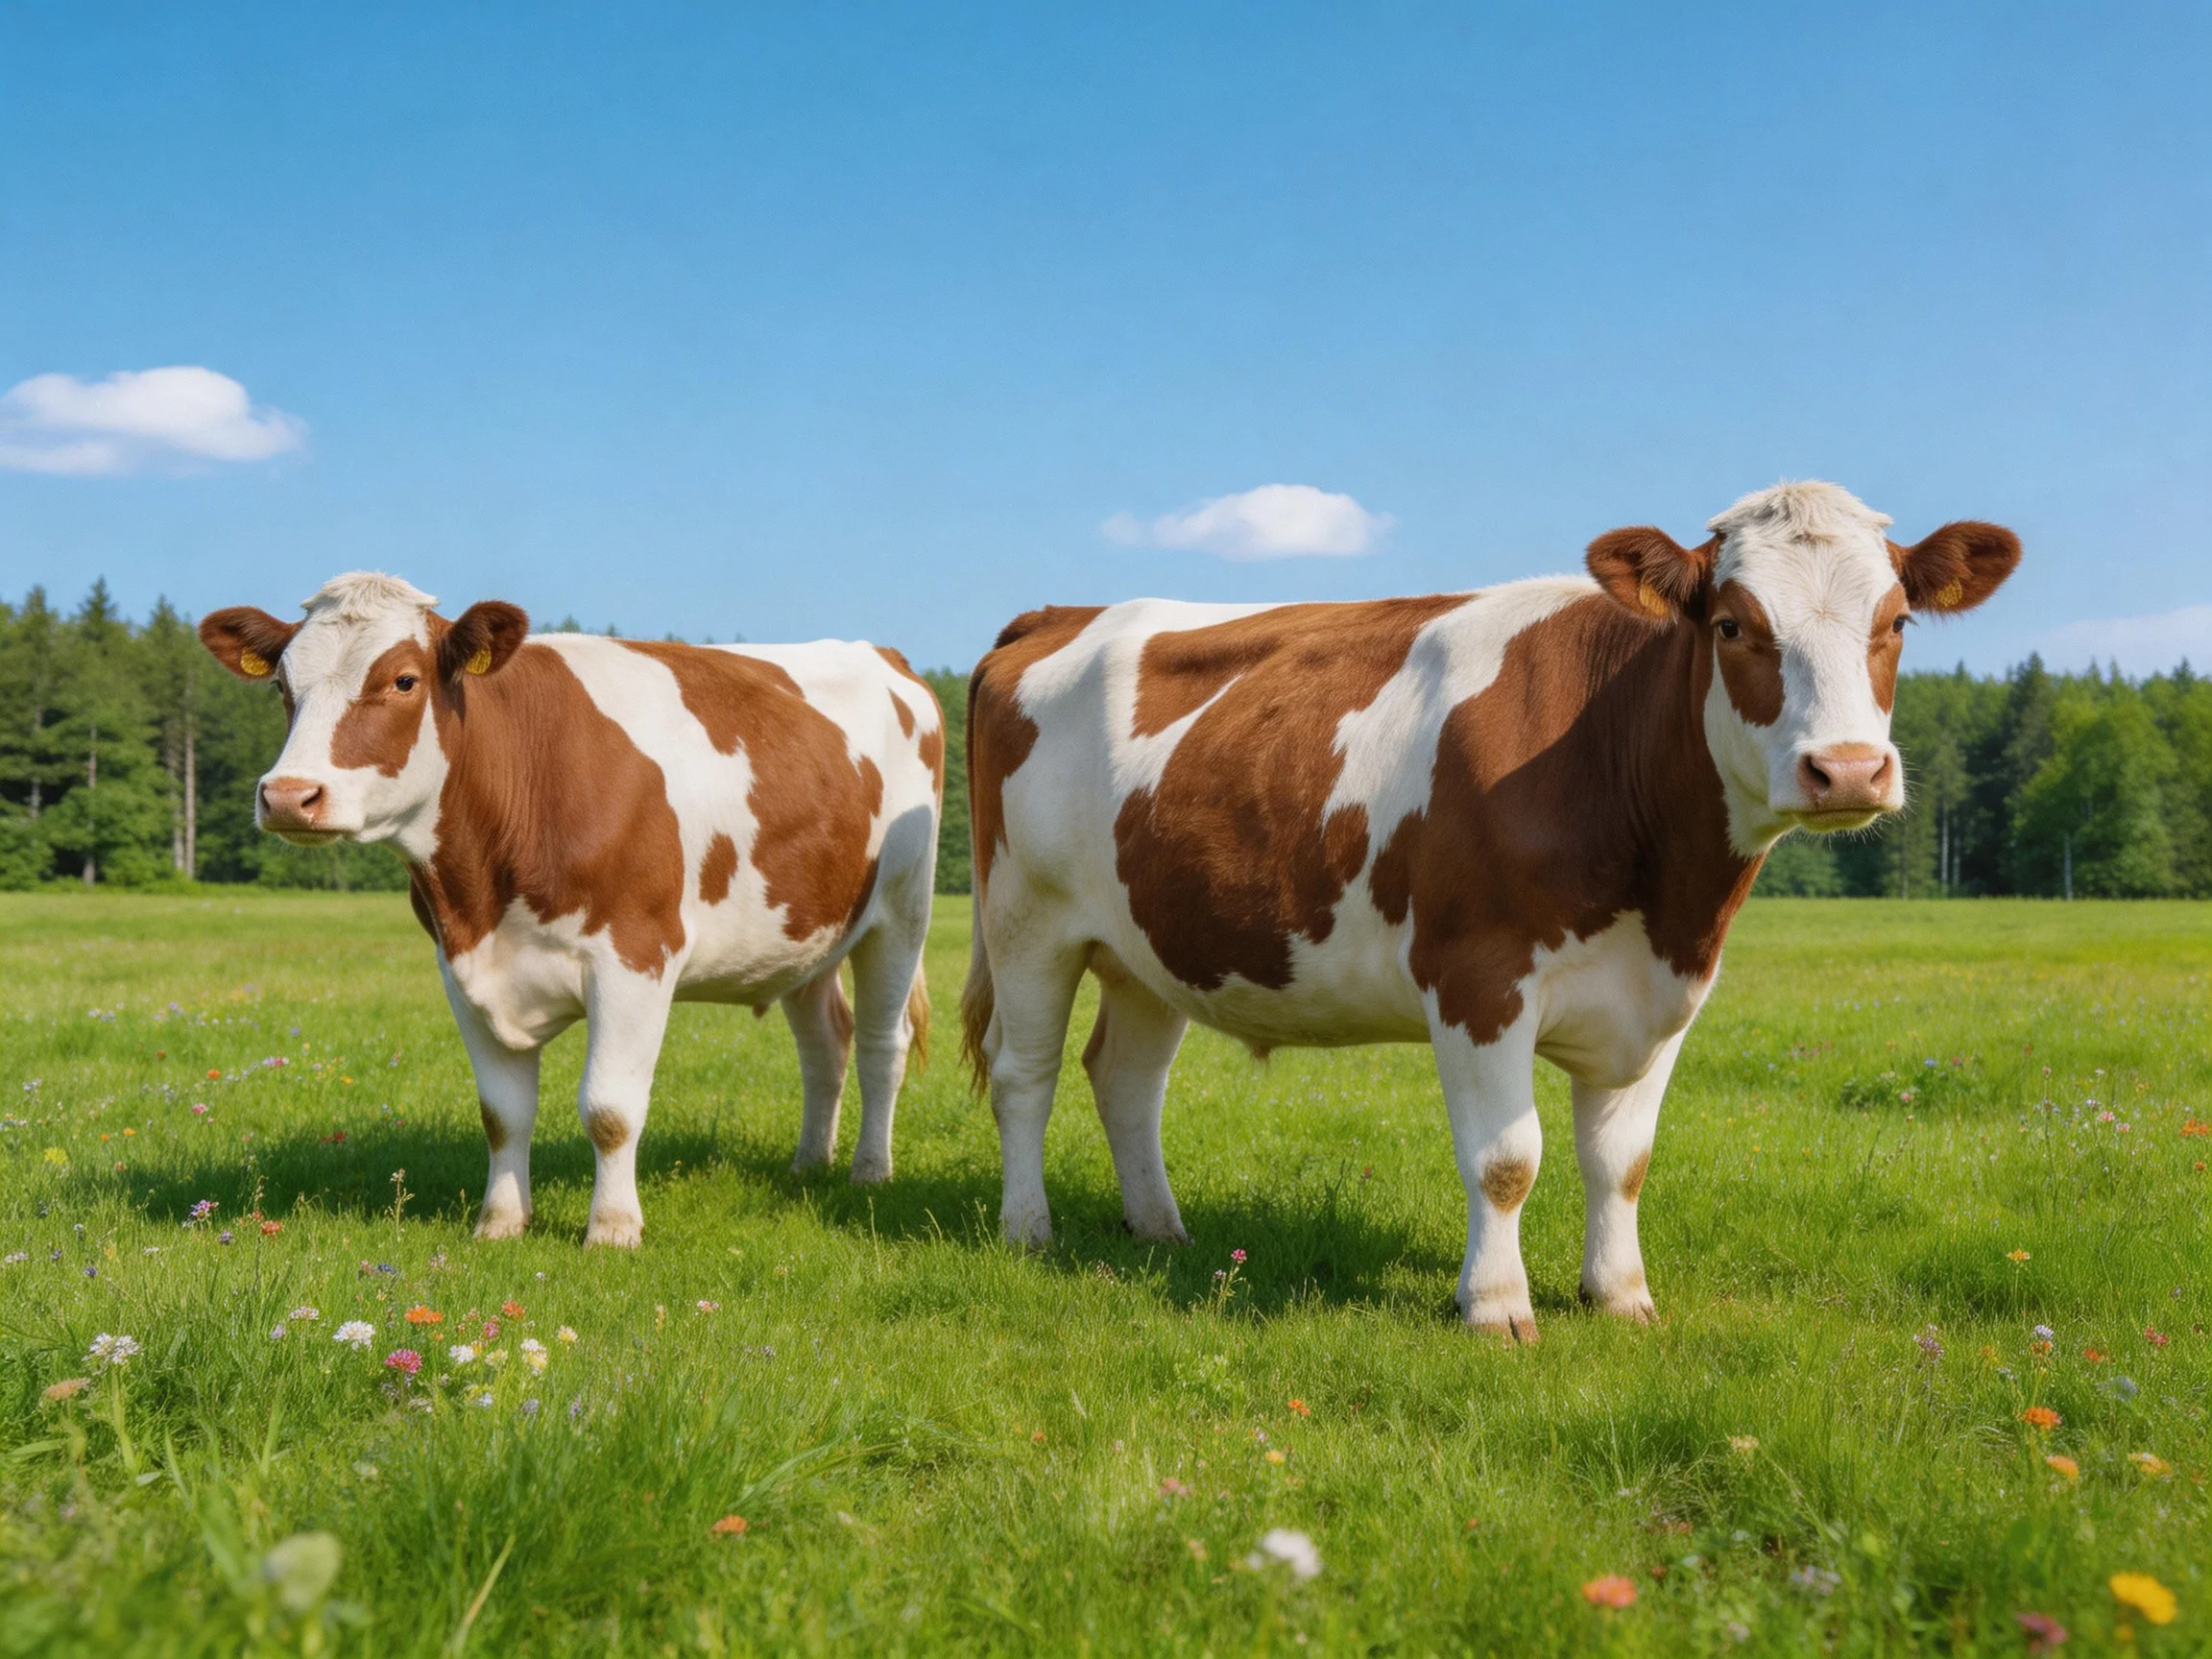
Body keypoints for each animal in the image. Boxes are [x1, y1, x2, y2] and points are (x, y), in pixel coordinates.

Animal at [198, 573, 943, 1247]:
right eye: (281, 687)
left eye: (404, 681)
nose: (289, 795)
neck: (483, 891)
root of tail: (886, 656)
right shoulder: (460, 968)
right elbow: (502, 1114)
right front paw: (500, 1224)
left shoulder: (636, 957)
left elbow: (610, 1109)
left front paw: (612, 1230)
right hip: (804, 935)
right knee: (825, 1045)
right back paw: (808, 1165)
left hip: (901, 914)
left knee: (882, 1044)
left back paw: (869, 1171)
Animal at [960, 481, 2018, 1338]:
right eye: (1730, 624)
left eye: (1897, 623)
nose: (1848, 769)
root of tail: (1059, 613)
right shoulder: (1477, 978)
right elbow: (1507, 1159)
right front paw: (1499, 1307)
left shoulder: (1664, 997)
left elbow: (1622, 1161)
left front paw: (1620, 1297)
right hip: (1026, 921)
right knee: (1025, 1076)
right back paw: (1029, 1230)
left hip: (1148, 941)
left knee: (1126, 1078)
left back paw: (1161, 1230)